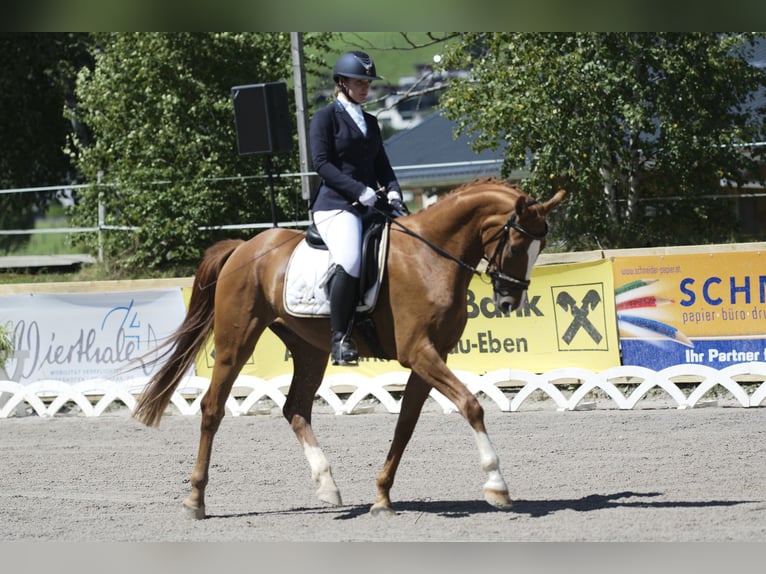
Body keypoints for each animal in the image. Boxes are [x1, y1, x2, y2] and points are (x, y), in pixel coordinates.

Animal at [134, 178, 564, 520]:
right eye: (516, 245)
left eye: (540, 246)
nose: (509, 302)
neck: (430, 256)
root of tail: (243, 247)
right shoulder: (419, 352)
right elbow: (471, 405)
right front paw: (496, 484)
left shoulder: (430, 356)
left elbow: (405, 425)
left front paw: (382, 497)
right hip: (235, 342)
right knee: (212, 408)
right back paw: (196, 500)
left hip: (309, 349)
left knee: (295, 408)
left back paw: (327, 485)